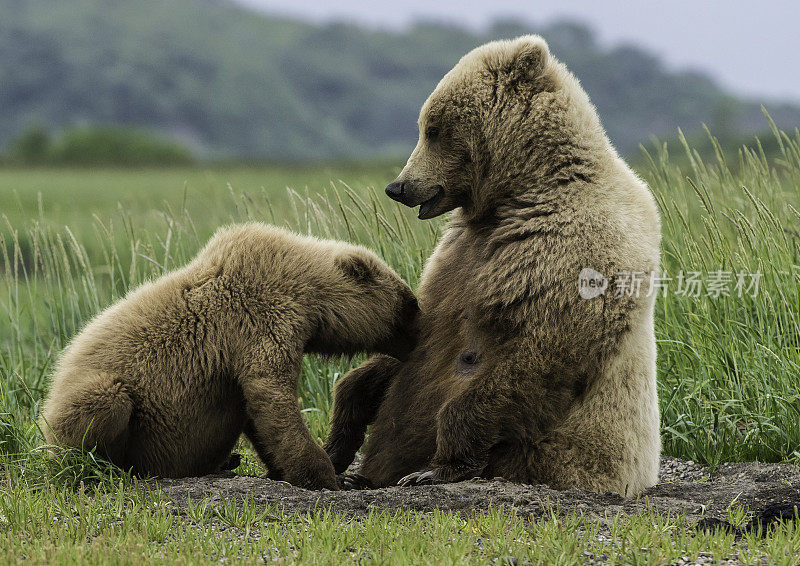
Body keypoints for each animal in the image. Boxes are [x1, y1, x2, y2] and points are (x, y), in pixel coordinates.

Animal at [324, 35, 664, 496]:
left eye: (434, 129)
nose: (399, 186)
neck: (515, 193)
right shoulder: (457, 256)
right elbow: (411, 335)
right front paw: (342, 430)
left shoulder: (569, 250)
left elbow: (532, 356)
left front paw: (435, 468)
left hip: (566, 453)